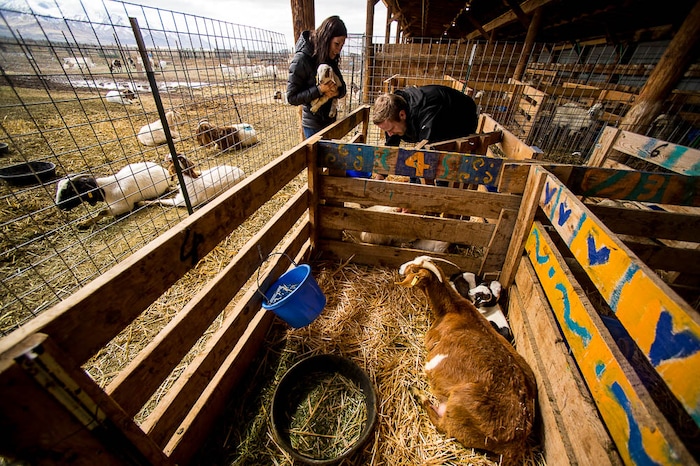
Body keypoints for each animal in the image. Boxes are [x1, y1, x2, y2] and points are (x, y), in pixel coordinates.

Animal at [397, 256, 536, 466]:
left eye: (413, 269)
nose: (400, 268)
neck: (453, 309)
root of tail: (516, 440)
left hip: (458, 409)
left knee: (442, 424)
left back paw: (417, 392)